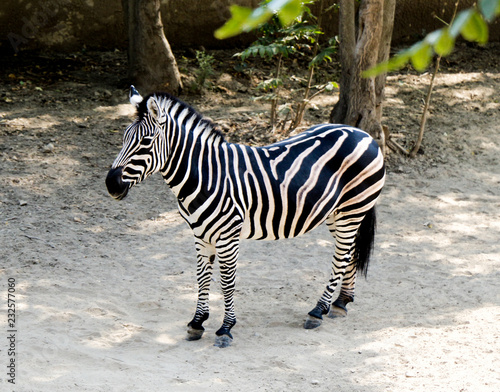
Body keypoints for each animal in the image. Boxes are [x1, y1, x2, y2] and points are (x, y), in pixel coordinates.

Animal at [106, 86, 386, 350]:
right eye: (124, 137)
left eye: (145, 141)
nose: (111, 184)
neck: (206, 175)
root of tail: (363, 134)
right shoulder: (200, 234)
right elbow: (202, 278)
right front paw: (197, 323)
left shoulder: (228, 236)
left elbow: (227, 282)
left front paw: (225, 328)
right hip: (336, 213)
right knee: (349, 252)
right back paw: (341, 302)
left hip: (353, 208)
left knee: (340, 258)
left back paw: (318, 310)